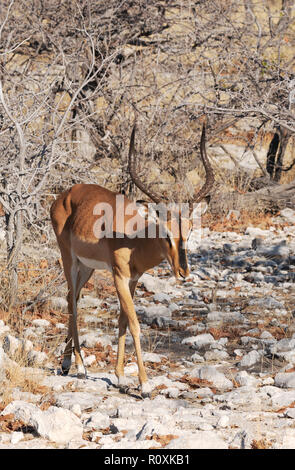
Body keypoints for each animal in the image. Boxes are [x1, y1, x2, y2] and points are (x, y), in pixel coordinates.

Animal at [51, 123, 215, 394]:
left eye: (190, 231)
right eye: (166, 233)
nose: (183, 272)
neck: (135, 239)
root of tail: (65, 194)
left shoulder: (133, 280)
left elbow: (122, 321)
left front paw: (119, 376)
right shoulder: (119, 276)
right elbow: (135, 323)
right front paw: (145, 383)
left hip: (87, 268)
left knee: (69, 298)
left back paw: (66, 364)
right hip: (69, 259)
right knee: (73, 303)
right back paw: (81, 367)